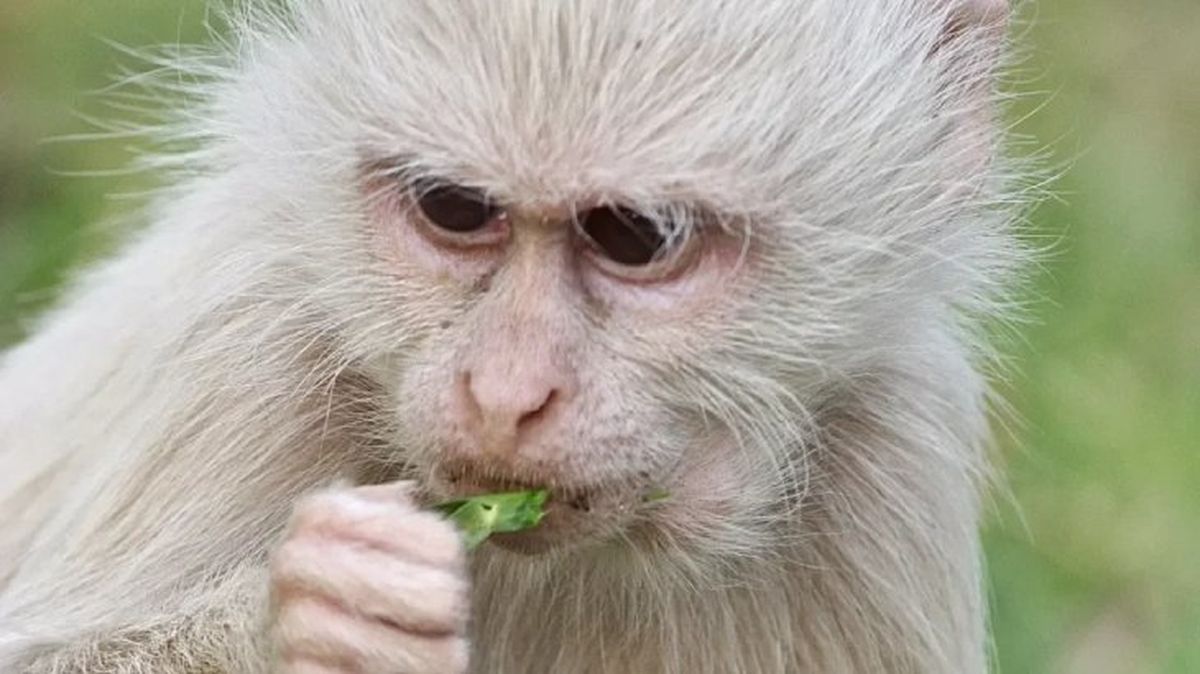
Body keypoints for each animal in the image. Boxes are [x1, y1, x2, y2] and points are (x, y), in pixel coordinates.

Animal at [0, 0, 1027, 672]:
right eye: (453, 208)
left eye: (637, 236)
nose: (503, 395)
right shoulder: (253, 331)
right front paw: (300, 624)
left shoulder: (894, 448)